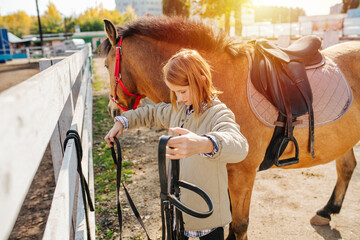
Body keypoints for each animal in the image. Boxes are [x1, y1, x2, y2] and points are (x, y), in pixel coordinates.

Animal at [100, 15, 360, 239]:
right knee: (347, 167)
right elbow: (230, 222)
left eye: (106, 65)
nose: (112, 110)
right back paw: (327, 211)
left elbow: (239, 225)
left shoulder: (242, 174)